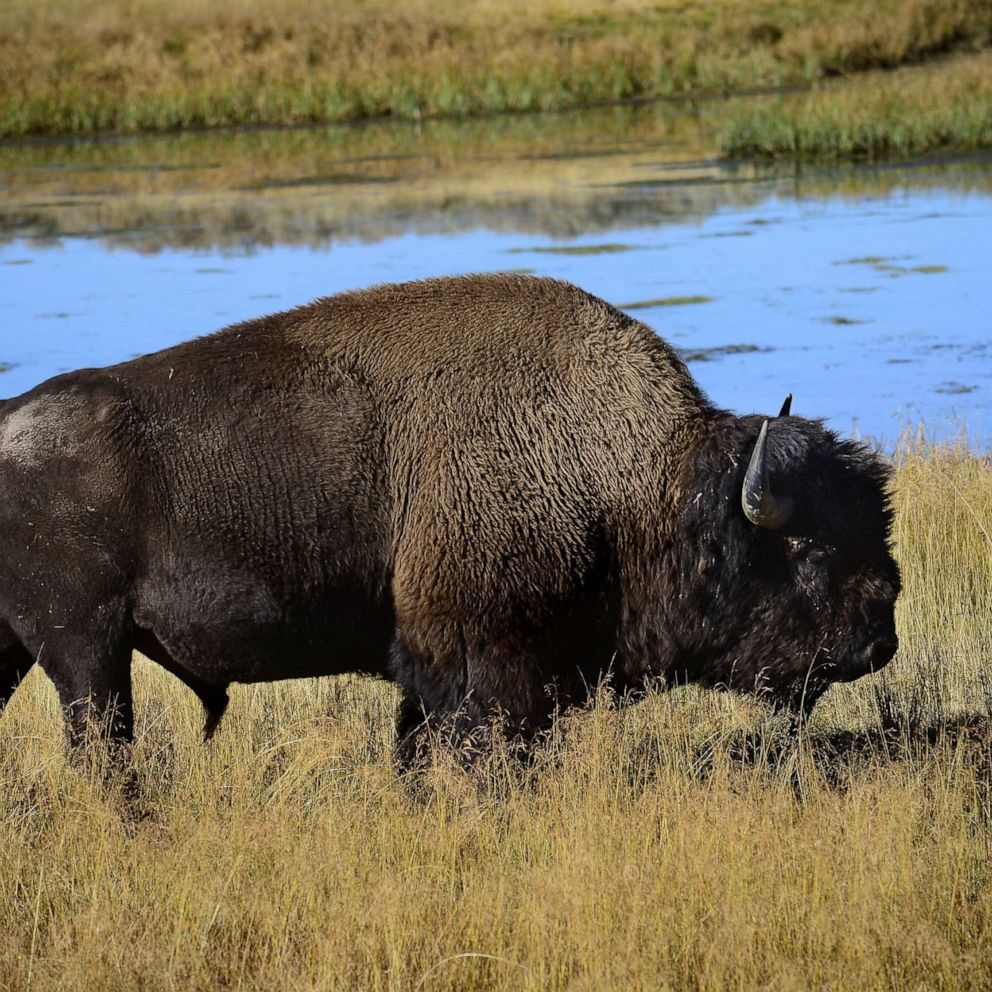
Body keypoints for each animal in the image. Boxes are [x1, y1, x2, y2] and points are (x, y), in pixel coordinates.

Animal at [0, 274, 900, 760]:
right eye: (809, 549)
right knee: (104, 750)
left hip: (18, 649)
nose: (880, 636)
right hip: (85, 651)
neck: (637, 479)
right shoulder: (485, 664)